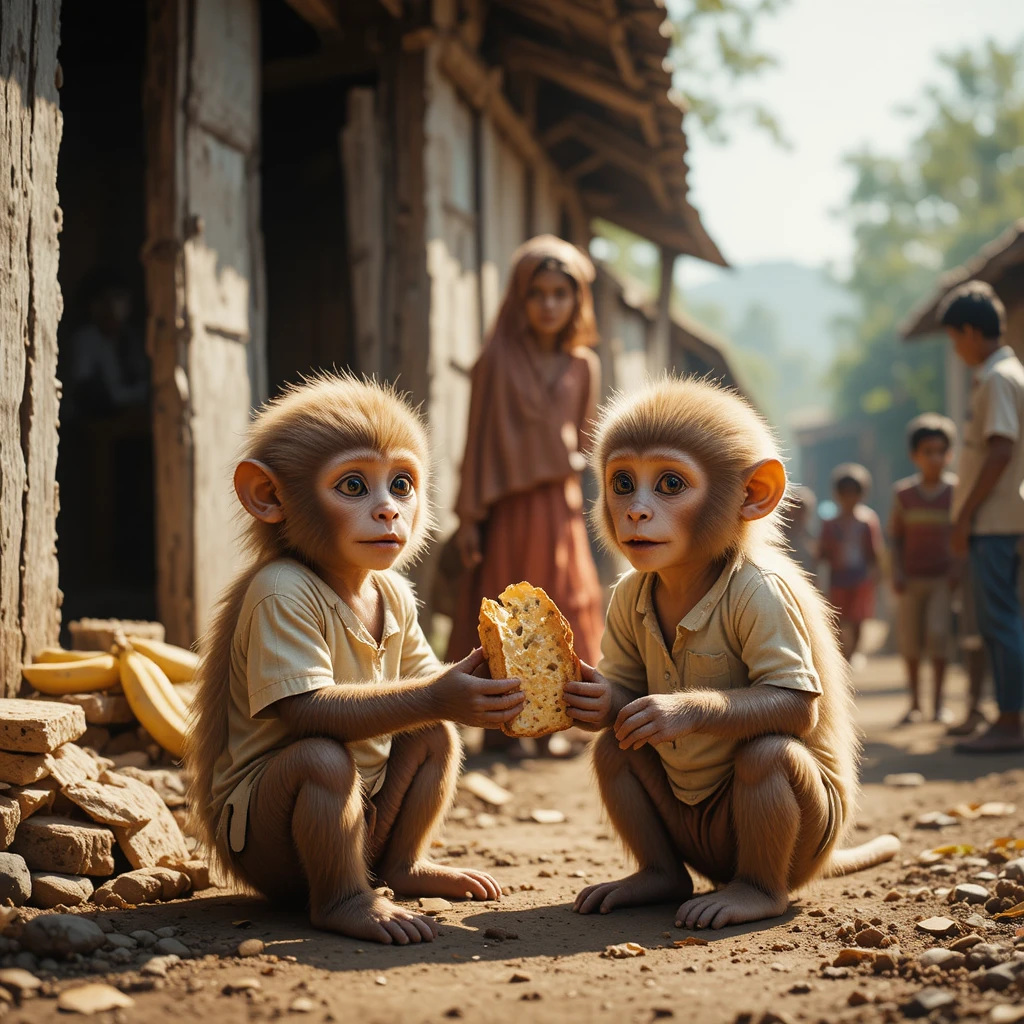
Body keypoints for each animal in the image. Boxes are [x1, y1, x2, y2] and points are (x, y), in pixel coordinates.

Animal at [185, 374, 525, 945]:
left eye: (401, 484)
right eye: (353, 486)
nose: (389, 513)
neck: (344, 579)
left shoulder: (403, 596)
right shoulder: (277, 598)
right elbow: (313, 707)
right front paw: (454, 692)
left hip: (376, 842)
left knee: (432, 736)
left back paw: (412, 874)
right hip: (262, 854)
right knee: (320, 762)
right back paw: (352, 910)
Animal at [561, 377, 899, 930]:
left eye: (670, 484)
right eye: (624, 482)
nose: (635, 513)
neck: (692, 577)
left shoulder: (768, 598)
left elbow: (791, 703)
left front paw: (672, 713)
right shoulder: (626, 592)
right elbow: (623, 703)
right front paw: (598, 700)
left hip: (802, 844)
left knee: (768, 754)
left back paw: (753, 896)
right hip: (694, 842)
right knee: (617, 747)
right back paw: (655, 881)